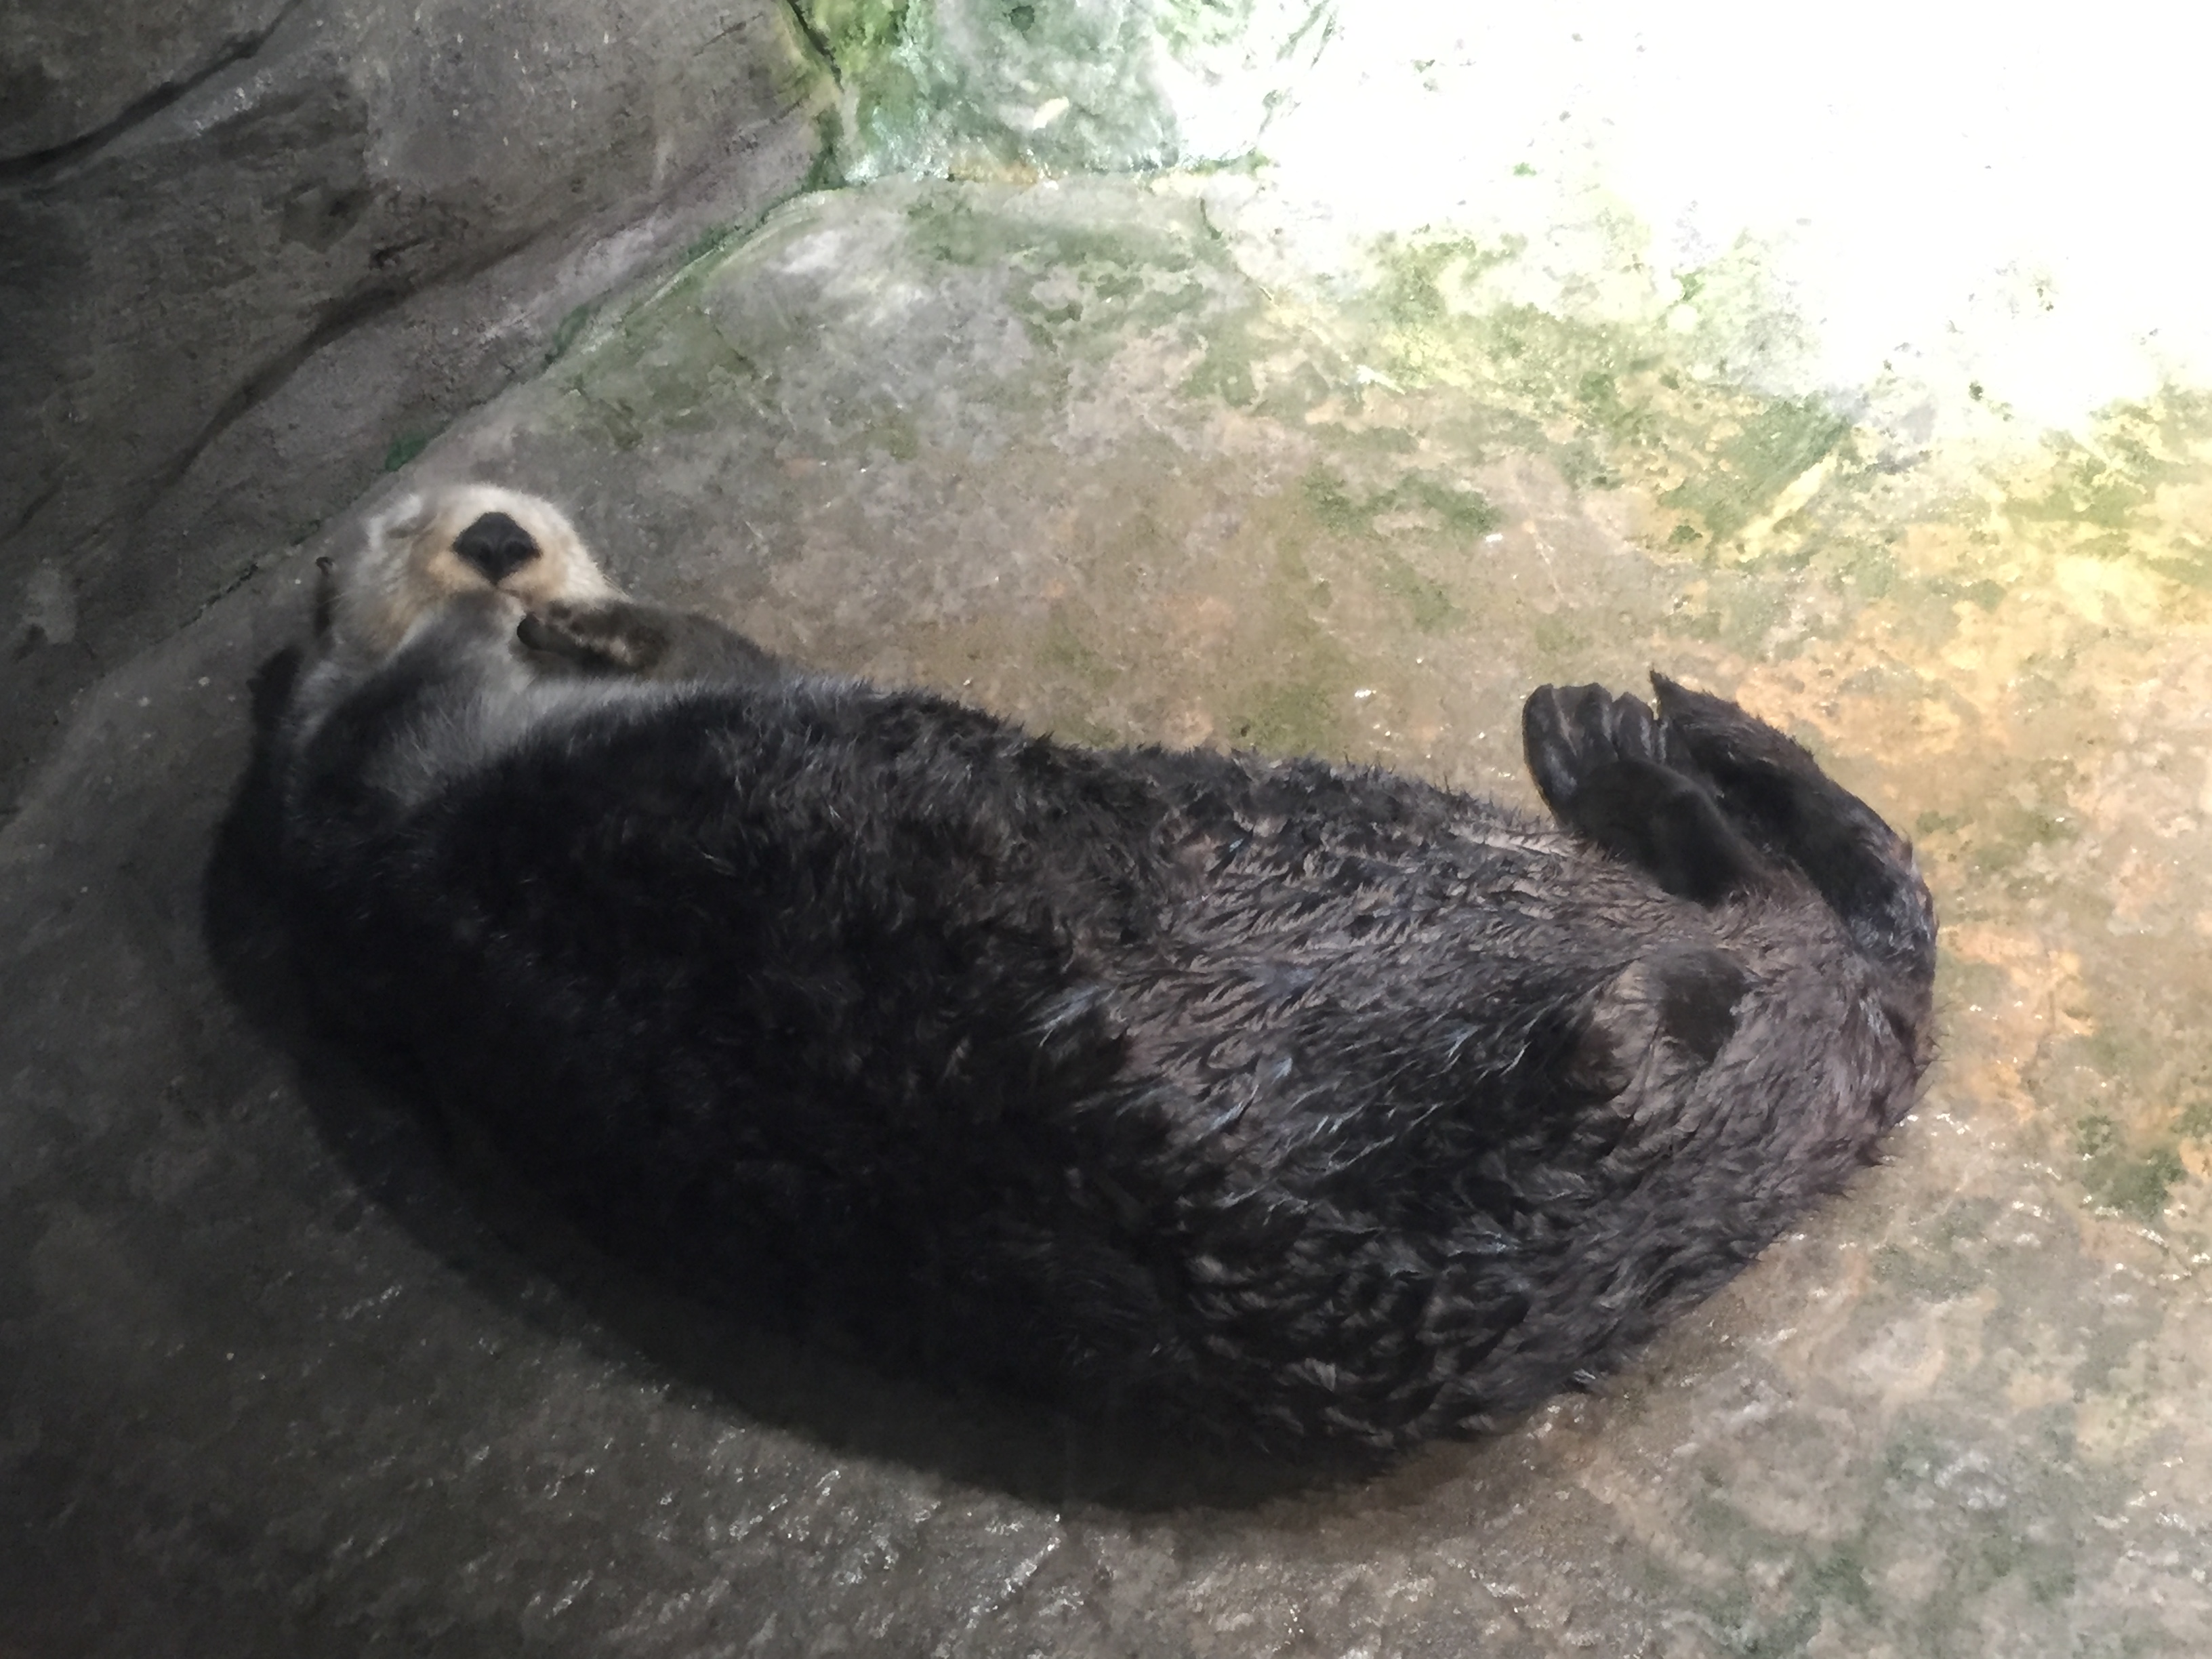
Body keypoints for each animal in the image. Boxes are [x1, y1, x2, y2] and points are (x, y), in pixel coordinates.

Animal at [271, 484, 1935, 1450]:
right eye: (407, 520)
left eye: (502, 499)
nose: (497, 541)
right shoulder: (361, 781)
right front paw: (533, 621)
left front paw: (570, 612)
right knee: (1743, 943)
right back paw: (1630, 822)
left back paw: (1617, 767)